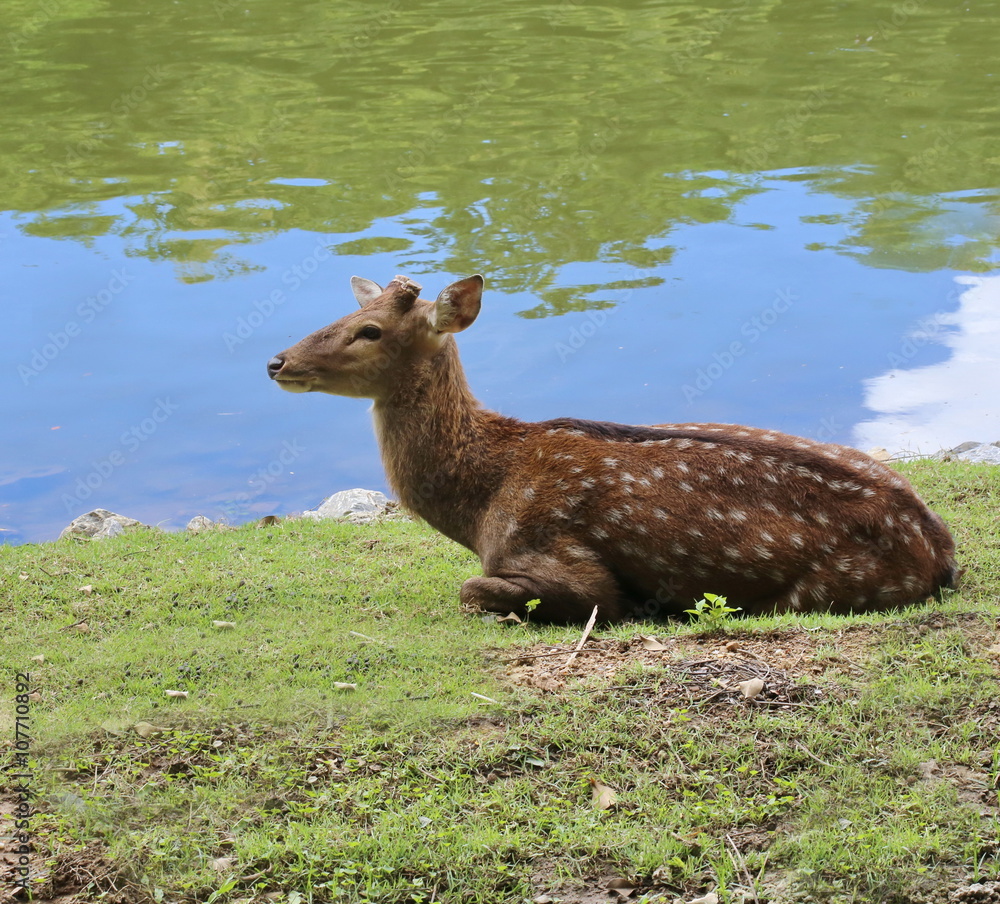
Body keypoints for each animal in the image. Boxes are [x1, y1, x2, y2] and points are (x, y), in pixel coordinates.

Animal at [267, 274, 958, 623]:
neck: (481, 503)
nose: (277, 361)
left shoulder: (561, 560)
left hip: (827, 590)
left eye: (369, 330)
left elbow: (474, 589)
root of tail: (940, 550)